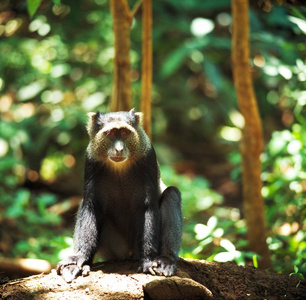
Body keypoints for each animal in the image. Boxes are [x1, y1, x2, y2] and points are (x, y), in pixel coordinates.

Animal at [56, 109, 183, 282]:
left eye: (124, 132)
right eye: (110, 134)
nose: (118, 149)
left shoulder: (148, 157)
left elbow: (147, 206)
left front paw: (148, 261)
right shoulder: (91, 160)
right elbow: (91, 206)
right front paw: (79, 258)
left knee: (172, 193)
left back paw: (166, 260)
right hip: (115, 247)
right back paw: (85, 263)